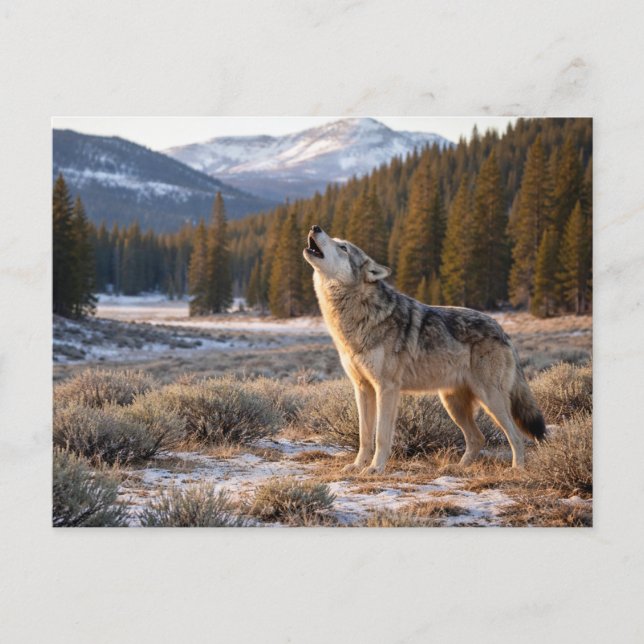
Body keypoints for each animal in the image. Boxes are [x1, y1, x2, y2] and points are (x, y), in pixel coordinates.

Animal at [303, 225, 546, 475]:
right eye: (335, 239)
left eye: (343, 247)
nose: (315, 227)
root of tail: (503, 330)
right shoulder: (362, 388)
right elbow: (364, 436)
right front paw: (357, 466)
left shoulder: (387, 388)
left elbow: (381, 436)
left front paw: (375, 468)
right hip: (453, 403)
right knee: (477, 438)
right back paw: (455, 468)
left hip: (490, 399)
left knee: (516, 436)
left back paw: (516, 469)